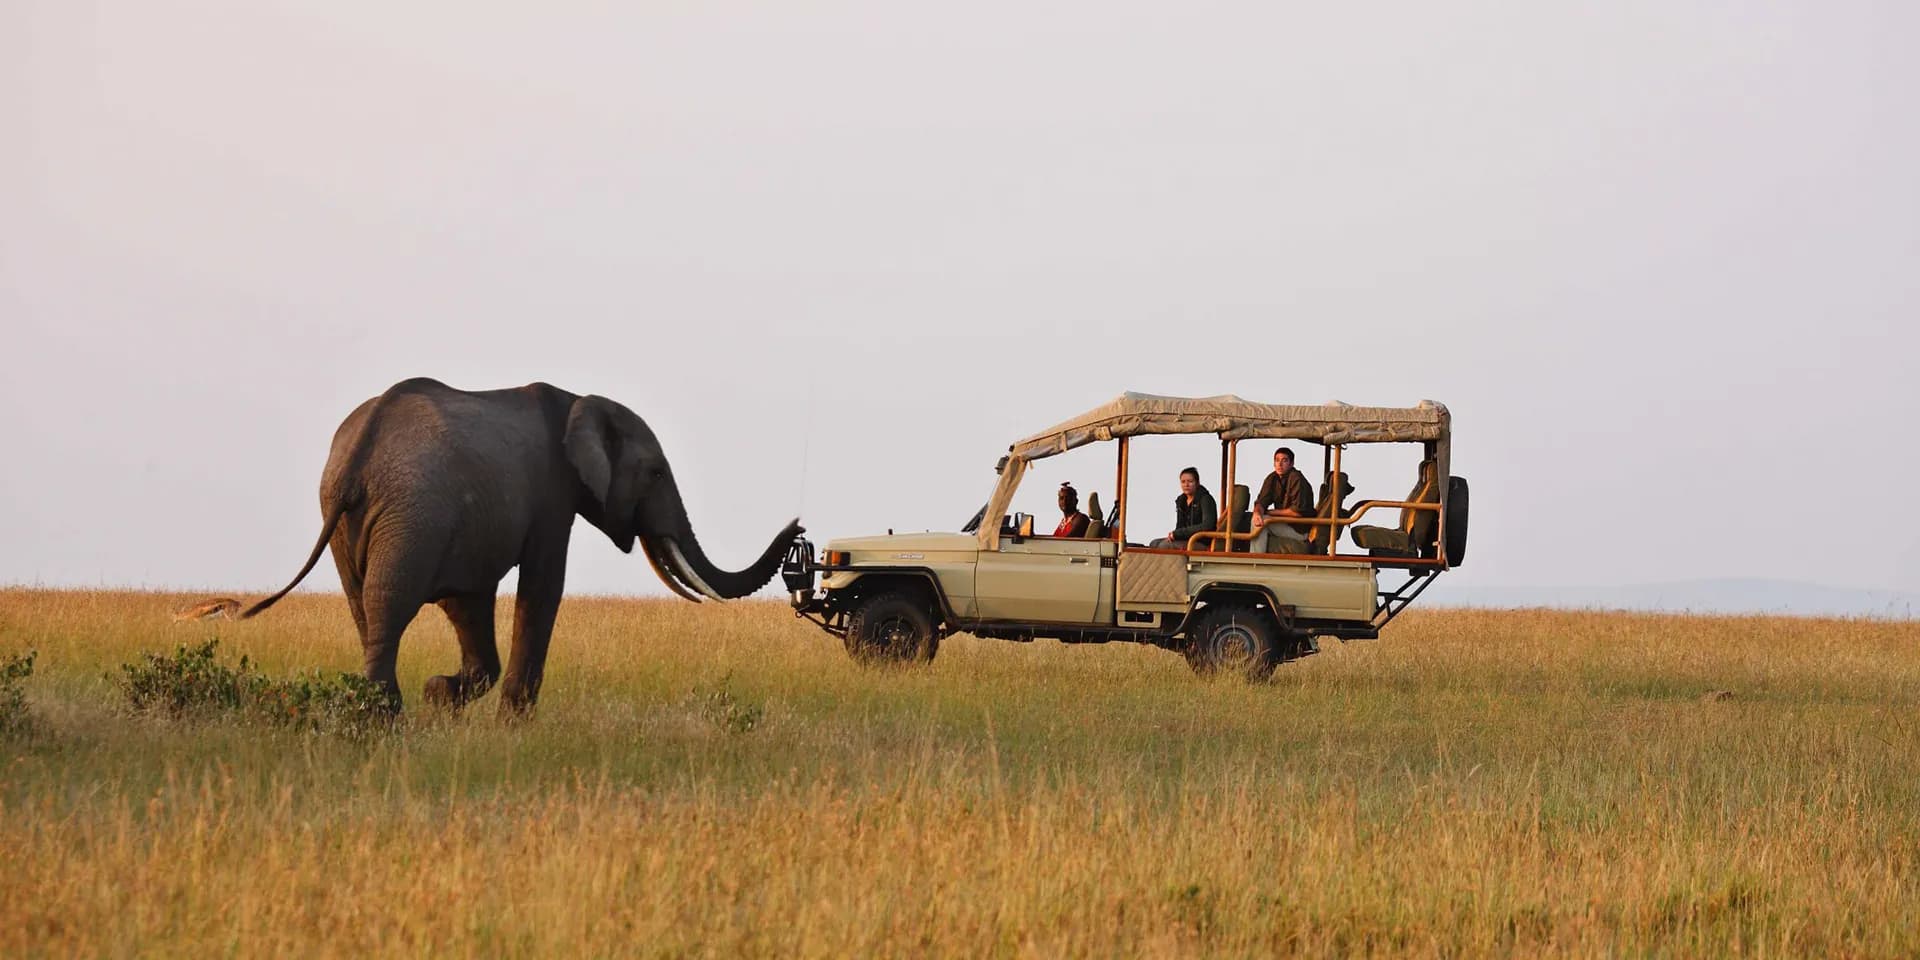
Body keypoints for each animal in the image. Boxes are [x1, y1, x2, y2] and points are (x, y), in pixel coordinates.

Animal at [243, 377, 802, 715]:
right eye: (657, 473)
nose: (798, 528)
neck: (580, 401)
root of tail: (358, 455)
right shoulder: (552, 495)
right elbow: (541, 588)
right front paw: (509, 721)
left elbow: (467, 601)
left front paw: (440, 695)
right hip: (412, 514)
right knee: (388, 608)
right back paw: (385, 722)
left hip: (358, 519)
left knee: (363, 608)